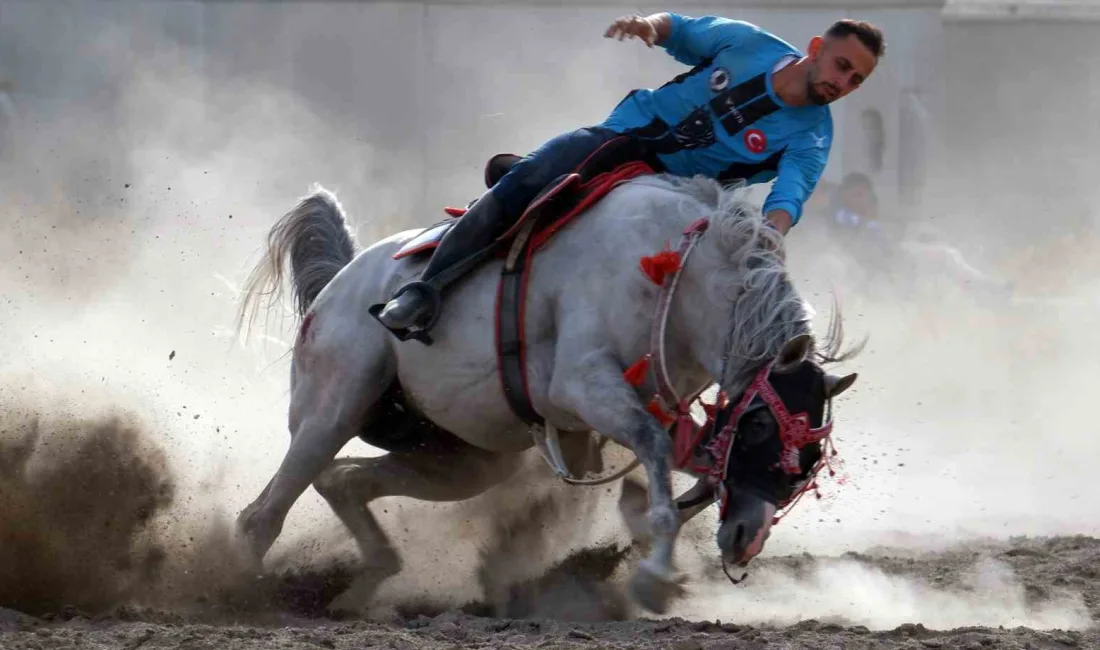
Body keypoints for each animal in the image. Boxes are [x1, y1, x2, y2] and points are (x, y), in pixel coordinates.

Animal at [234, 172, 858, 615]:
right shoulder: (584, 385)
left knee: (343, 481)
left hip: (463, 458)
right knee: (262, 515)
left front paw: (640, 525)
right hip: (331, 409)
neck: (678, 277)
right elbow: (656, 453)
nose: (746, 539)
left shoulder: (666, 412)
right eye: (761, 427)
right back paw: (237, 590)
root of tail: (340, 283)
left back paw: (360, 590)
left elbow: (690, 470)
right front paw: (655, 578)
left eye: (810, 460)